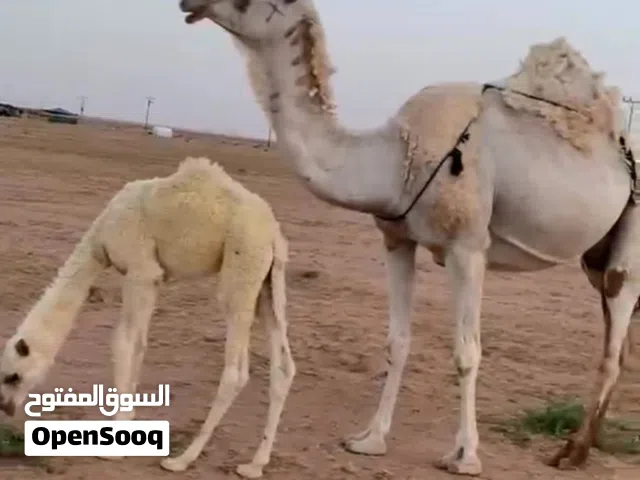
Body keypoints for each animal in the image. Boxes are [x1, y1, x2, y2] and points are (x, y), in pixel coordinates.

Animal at [0, 156, 295, 479]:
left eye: (13, 376)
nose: (6, 407)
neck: (100, 239)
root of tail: (273, 233)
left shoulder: (139, 270)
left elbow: (123, 343)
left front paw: (114, 448)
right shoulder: (153, 279)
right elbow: (139, 345)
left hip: (242, 267)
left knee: (235, 371)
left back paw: (181, 460)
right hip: (270, 279)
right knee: (283, 364)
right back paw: (254, 464)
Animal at [176, 0, 640, 475]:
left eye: (247, 2)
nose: (189, 4)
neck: (396, 156)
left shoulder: (467, 246)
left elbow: (467, 352)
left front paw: (465, 456)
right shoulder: (398, 239)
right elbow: (396, 342)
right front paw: (370, 438)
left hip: (629, 247)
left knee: (611, 348)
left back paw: (571, 452)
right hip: (595, 258)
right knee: (619, 346)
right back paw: (588, 444)